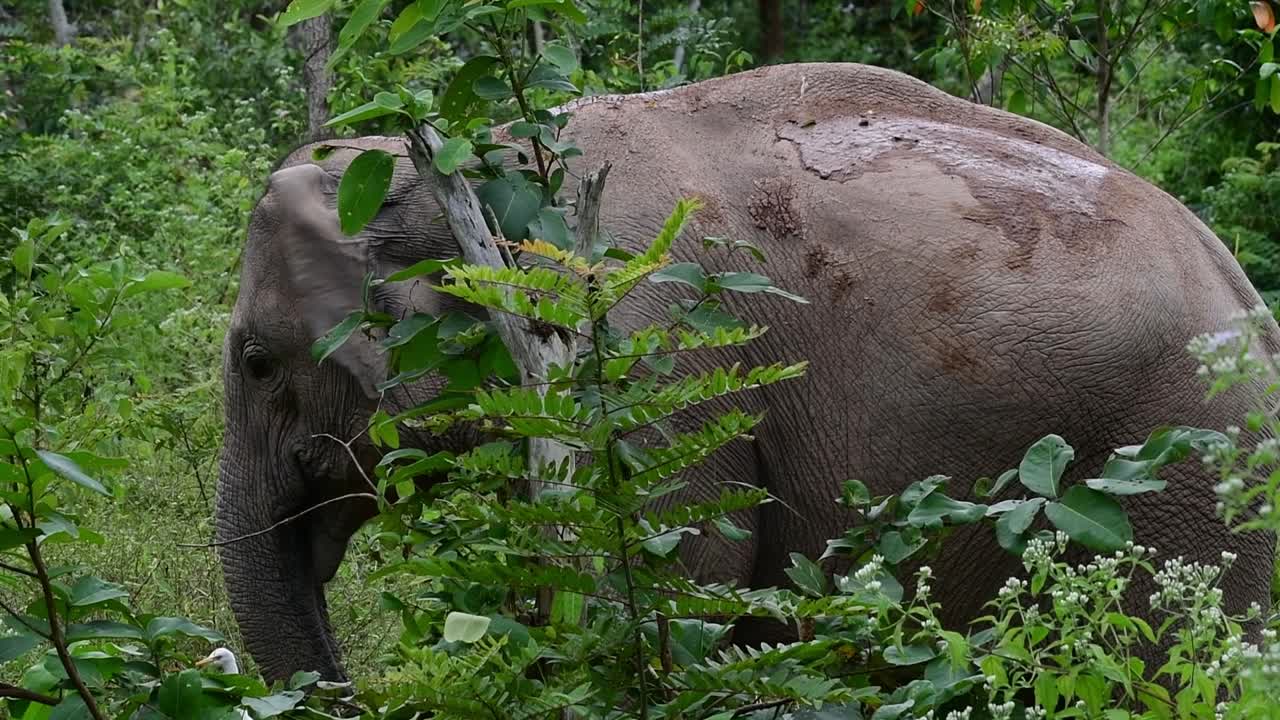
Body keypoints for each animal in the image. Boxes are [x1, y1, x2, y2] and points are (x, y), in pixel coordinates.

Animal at [216, 62, 1278, 682]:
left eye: (259, 362)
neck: (486, 157)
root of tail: (1250, 305)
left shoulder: (642, 345)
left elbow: (660, 580)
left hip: (1187, 460)